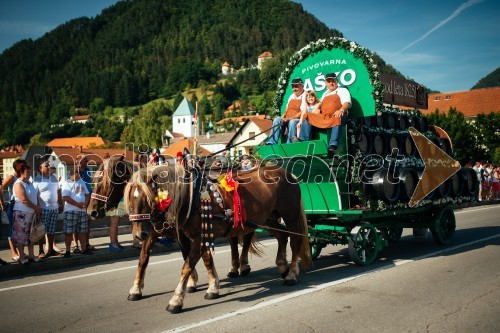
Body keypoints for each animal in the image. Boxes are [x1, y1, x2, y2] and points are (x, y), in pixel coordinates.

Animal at [124, 162, 312, 312]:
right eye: (130, 200)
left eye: (148, 199)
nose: (139, 234)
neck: (191, 197)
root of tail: (287, 173)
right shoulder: (176, 235)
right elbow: (144, 259)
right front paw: (136, 289)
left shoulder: (199, 237)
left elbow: (188, 266)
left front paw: (177, 300)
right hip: (268, 219)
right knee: (282, 236)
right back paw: (281, 265)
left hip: (290, 216)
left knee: (295, 241)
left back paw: (291, 274)